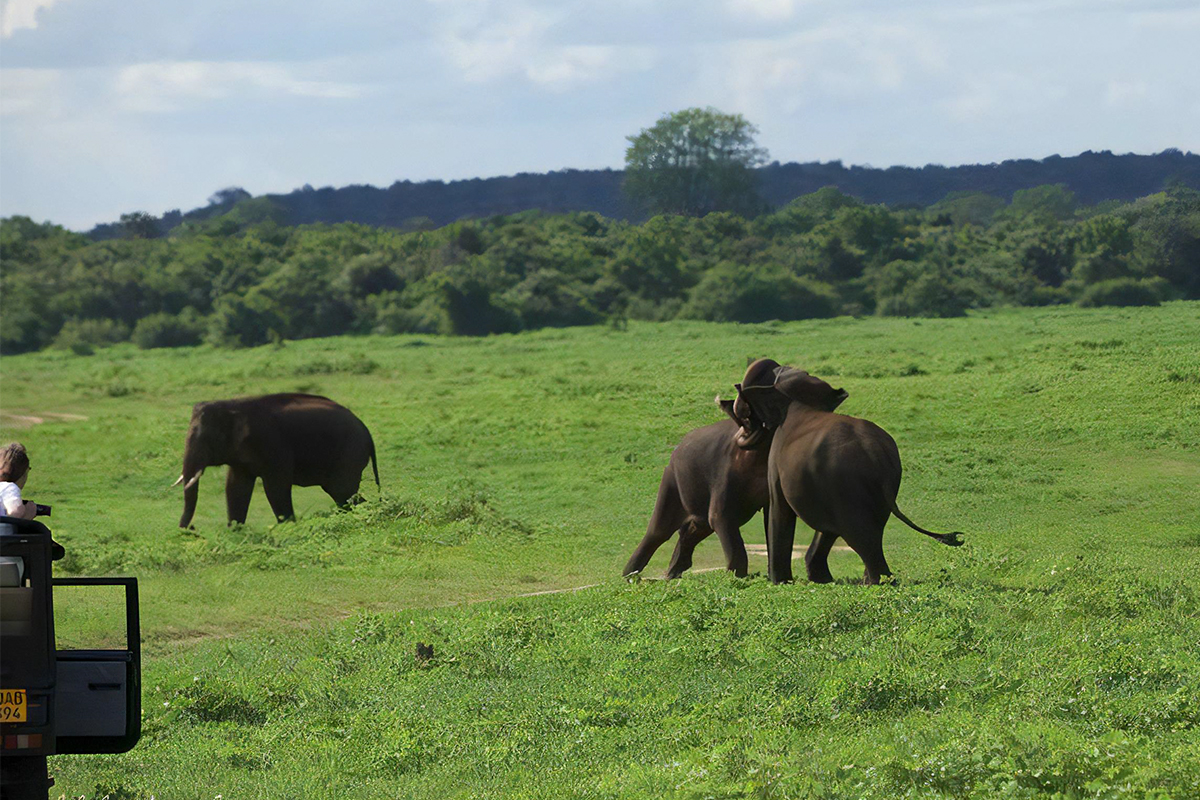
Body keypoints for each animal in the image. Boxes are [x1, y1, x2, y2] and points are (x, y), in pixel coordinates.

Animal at [171, 393, 376, 527]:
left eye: (206, 438)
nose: (192, 529)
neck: (233, 405)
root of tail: (366, 430)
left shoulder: (272, 444)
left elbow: (276, 487)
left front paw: (288, 527)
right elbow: (235, 487)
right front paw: (235, 531)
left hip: (350, 452)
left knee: (343, 492)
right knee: (342, 494)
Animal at [624, 359, 849, 578]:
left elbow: (769, 519)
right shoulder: (723, 476)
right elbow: (721, 518)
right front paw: (739, 577)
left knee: (693, 528)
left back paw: (672, 573)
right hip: (671, 481)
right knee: (659, 531)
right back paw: (631, 575)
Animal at [724, 359, 960, 585]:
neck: (800, 401)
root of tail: (876, 454)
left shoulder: (777, 461)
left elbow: (780, 509)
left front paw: (780, 582)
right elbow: (826, 529)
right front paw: (821, 580)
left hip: (847, 485)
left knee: (860, 536)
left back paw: (877, 582)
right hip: (878, 488)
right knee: (872, 532)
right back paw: (870, 581)